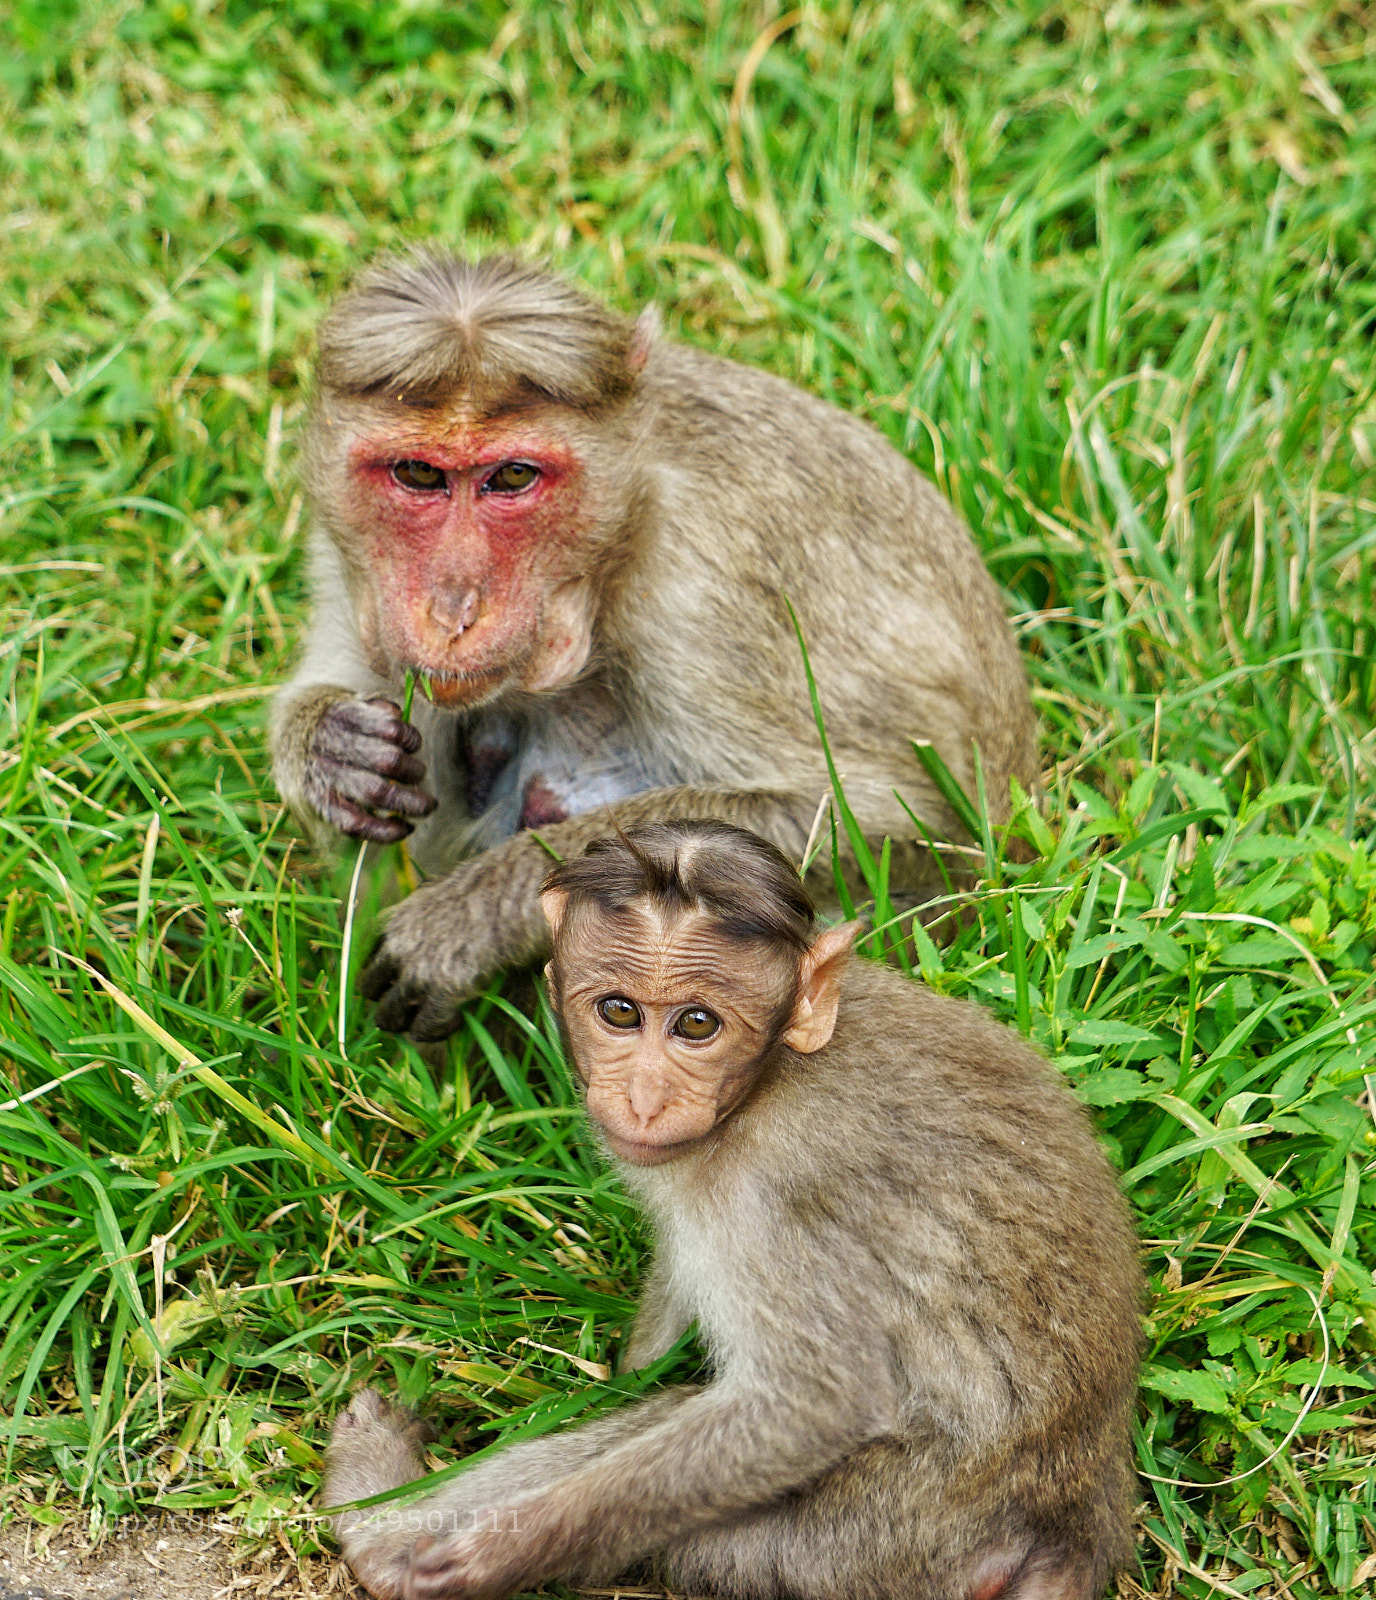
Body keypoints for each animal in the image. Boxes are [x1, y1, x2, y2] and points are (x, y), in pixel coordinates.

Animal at [268, 252, 1038, 1040]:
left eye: (512, 476)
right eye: (419, 474)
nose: (452, 610)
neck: (623, 531)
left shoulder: (705, 587)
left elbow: (894, 818)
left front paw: (467, 918)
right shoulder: (346, 557)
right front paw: (329, 749)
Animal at [321, 821, 1143, 1600]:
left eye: (697, 1024)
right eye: (619, 1012)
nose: (645, 1097)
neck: (768, 1078)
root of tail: (1078, 1518)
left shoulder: (772, 1190)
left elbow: (814, 1405)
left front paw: (499, 1549)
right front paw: (626, 1368)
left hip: (874, 1532)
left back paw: (380, 1534)